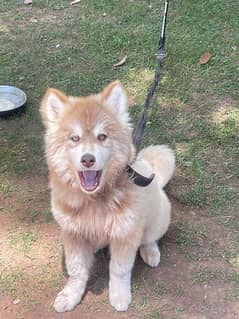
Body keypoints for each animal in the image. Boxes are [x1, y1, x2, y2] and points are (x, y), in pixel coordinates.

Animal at [40, 81, 175, 314]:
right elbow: (76, 270)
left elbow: (119, 270)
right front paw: (70, 296)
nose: (87, 159)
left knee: (149, 239)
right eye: (74, 138)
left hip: (157, 220)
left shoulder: (125, 235)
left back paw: (150, 253)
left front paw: (119, 296)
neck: (94, 200)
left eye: (102, 136)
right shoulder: (72, 234)